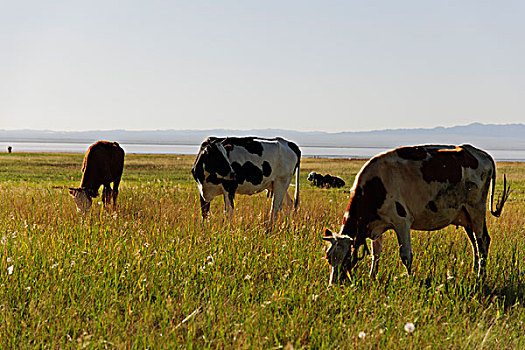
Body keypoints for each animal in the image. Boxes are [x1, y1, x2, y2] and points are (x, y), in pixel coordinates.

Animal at [322, 144, 510, 284]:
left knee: (482, 241)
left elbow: (406, 256)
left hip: (476, 209)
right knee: (475, 245)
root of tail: (479, 153)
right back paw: (475, 272)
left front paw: (409, 280)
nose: (333, 284)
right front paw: (372, 277)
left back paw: (480, 277)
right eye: (329, 258)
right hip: (466, 217)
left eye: (346, 257)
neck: (375, 186)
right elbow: (376, 254)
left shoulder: (401, 221)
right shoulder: (376, 225)